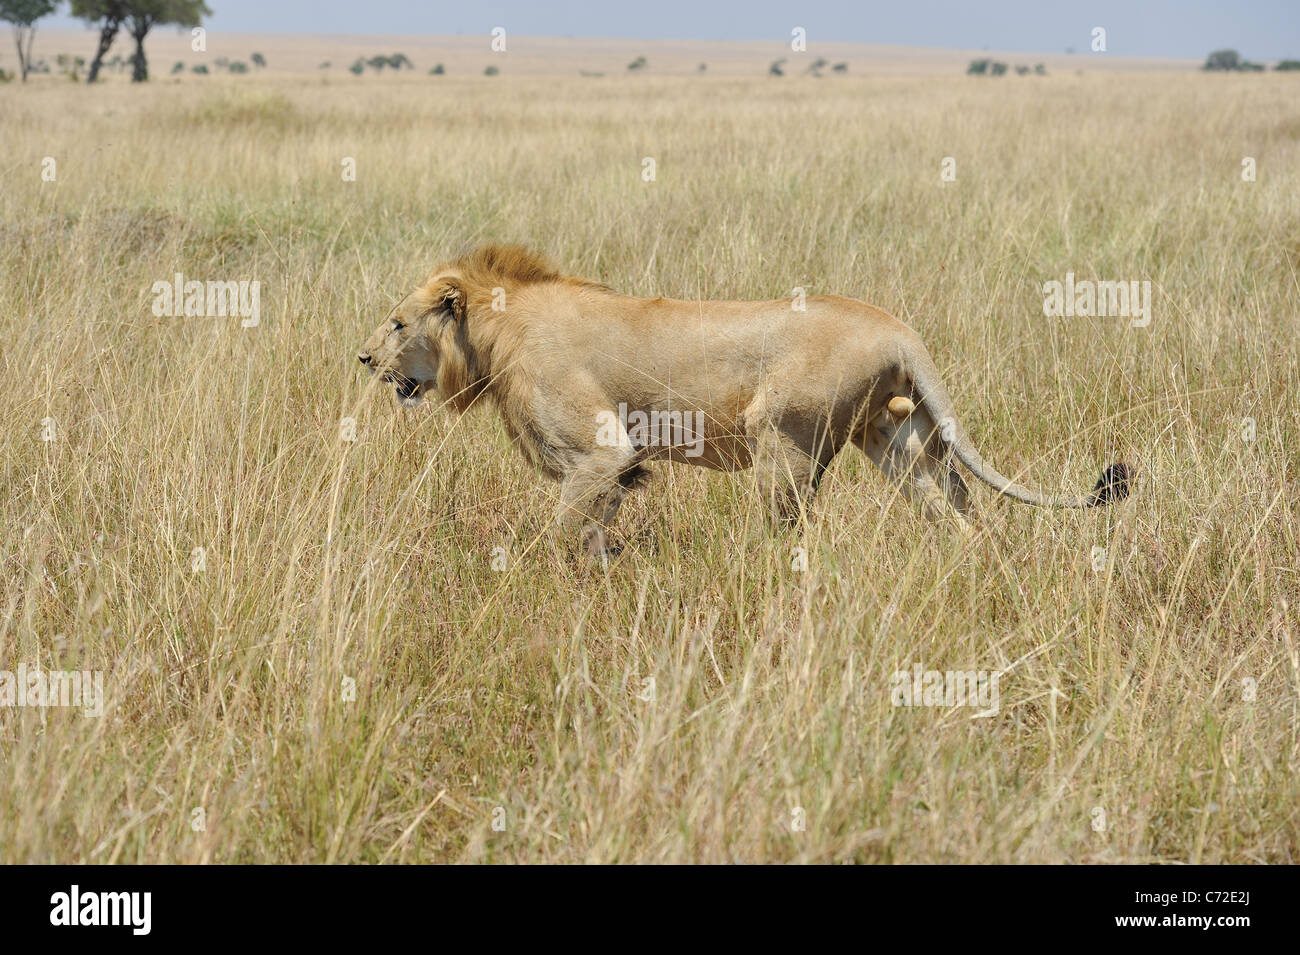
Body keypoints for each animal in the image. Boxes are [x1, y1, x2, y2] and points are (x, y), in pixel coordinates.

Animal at [359, 245, 1130, 557]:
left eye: (396, 323)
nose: (362, 359)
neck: (494, 335)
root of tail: (898, 328)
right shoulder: (611, 466)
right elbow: (596, 527)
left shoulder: (599, 451)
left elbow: (565, 533)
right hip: (899, 442)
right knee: (961, 515)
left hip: (781, 437)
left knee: (787, 533)